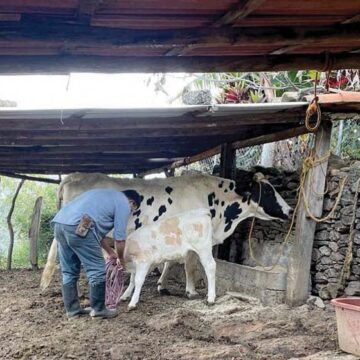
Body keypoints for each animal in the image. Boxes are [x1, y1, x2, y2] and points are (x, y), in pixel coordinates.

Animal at [40, 170, 292, 300]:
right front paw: (191, 291)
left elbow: (171, 262)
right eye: (268, 191)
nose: (290, 210)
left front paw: (161, 284)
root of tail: (74, 175)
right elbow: (190, 264)